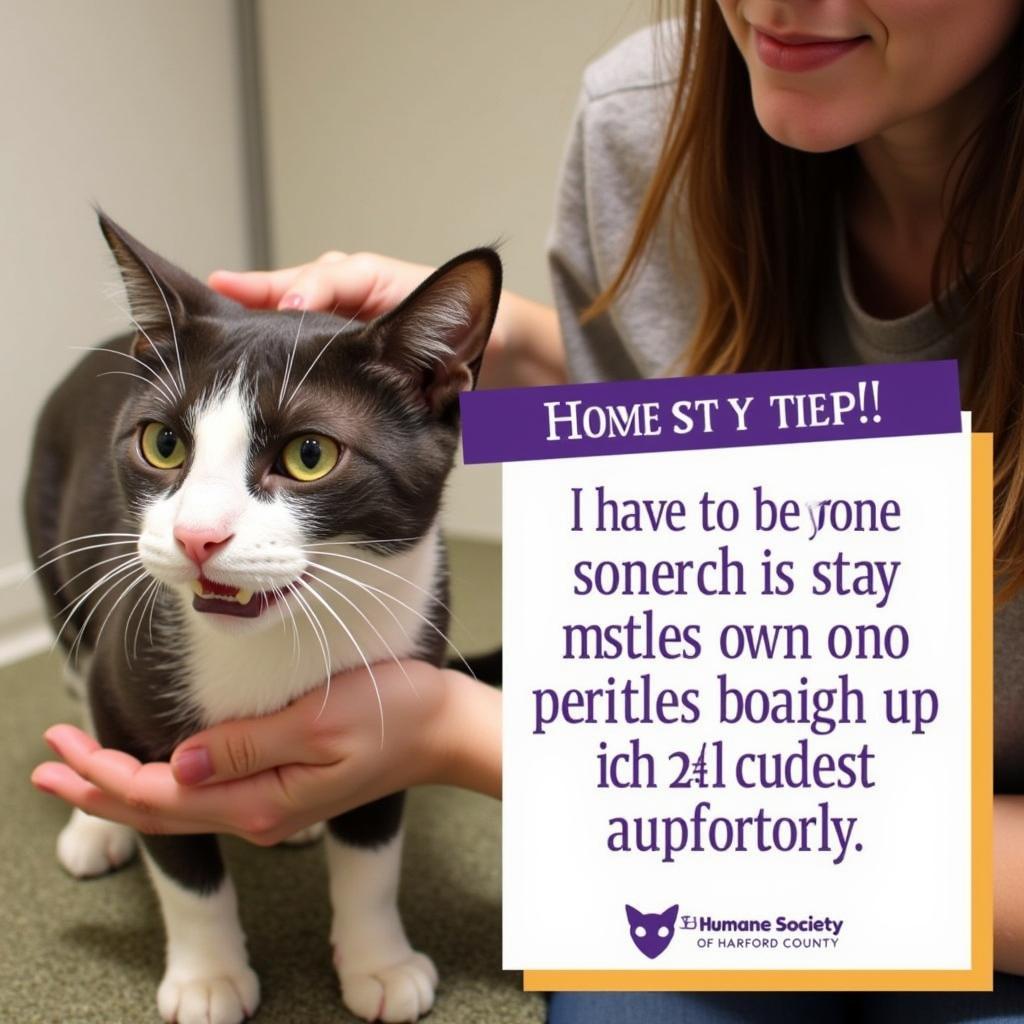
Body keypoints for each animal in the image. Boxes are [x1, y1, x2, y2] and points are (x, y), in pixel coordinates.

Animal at [22, 209, 501, 1024]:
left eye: (310, 455)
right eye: (163, 443)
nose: (196, 535)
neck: (271, 640)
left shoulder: (395, 693)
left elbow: (373, 842)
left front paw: (379, 962)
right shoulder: (128, 662)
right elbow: (181, 859)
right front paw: (207, 977)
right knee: (78, 669)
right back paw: (94, 822)